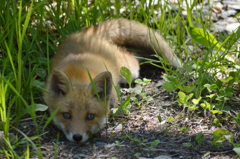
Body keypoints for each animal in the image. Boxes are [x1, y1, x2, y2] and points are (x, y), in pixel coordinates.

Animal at [43, 18, 182, 143]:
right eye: (66, 115)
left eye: (90, 116)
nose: (77, 137)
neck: (78, 75)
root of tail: (85, 33)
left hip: (129, 71)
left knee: (133, 56)